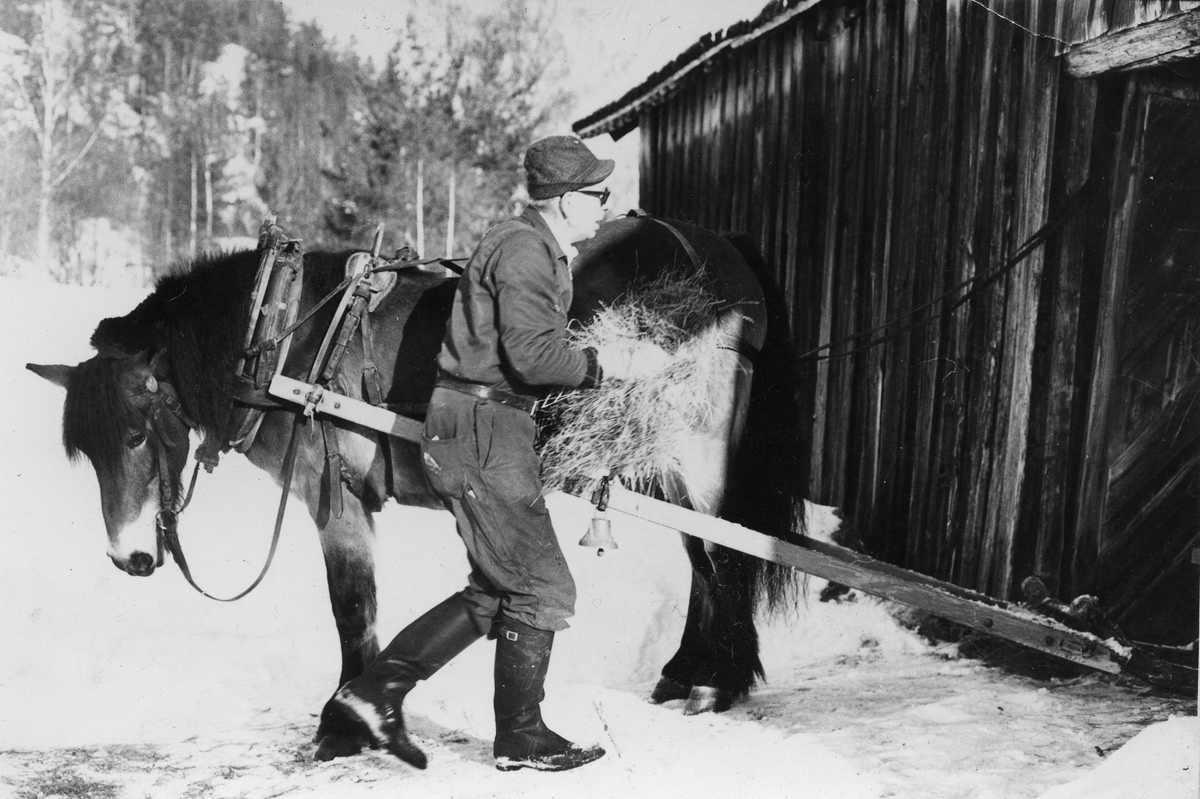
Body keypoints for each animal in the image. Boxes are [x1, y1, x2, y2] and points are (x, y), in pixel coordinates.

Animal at [28, 214, 811, 758]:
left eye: (136, 434)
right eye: (87, 451)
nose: (129, 558)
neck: (283, 338)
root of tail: (718, 249)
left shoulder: (334, 498)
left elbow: (354, 609)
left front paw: (346, 722)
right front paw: (362, 712)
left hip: (698, 454)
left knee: (725, 559)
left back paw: (714, 682)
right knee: (704, 563)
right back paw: (687, 673)